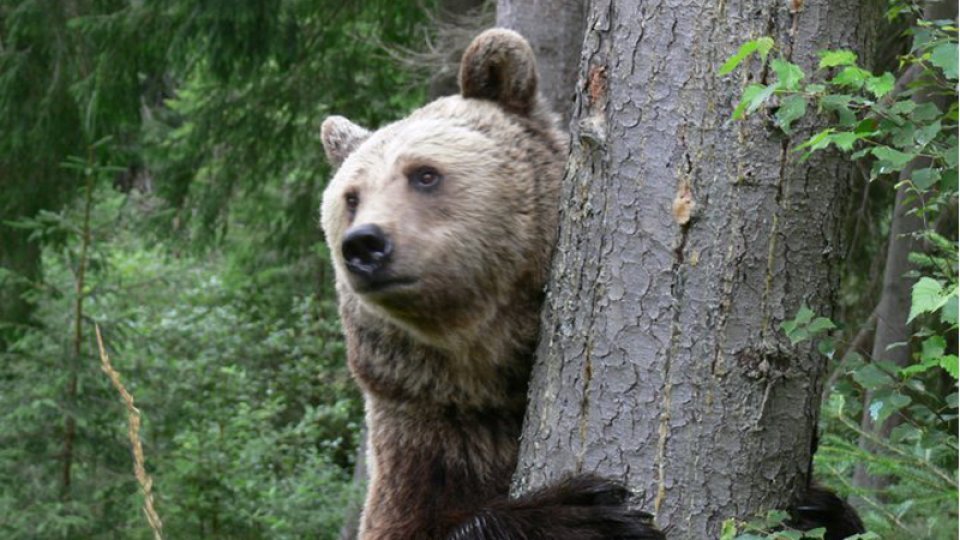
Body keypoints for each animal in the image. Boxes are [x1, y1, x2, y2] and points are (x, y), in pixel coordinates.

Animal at [318, 30, 664, 540]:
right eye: (351, 197)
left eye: (424, 174)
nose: (364, 244)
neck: (485, 380)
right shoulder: (424, 437)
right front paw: (579, 508)